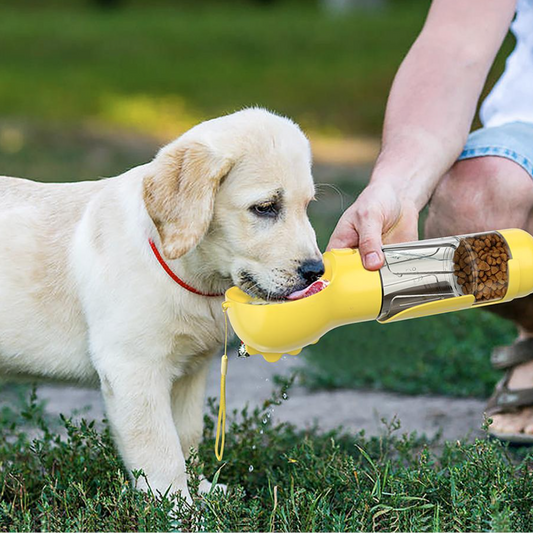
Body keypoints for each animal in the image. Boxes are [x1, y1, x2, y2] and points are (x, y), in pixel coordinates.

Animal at [0, 107, 322, 498]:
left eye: (307, 206)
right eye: (265, 208)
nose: (317, 271)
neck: (191, 275)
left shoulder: (190, 372)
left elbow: (187, 435)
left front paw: (203, 490)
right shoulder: (133, 368)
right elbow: (160, 448)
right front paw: (176, 504)